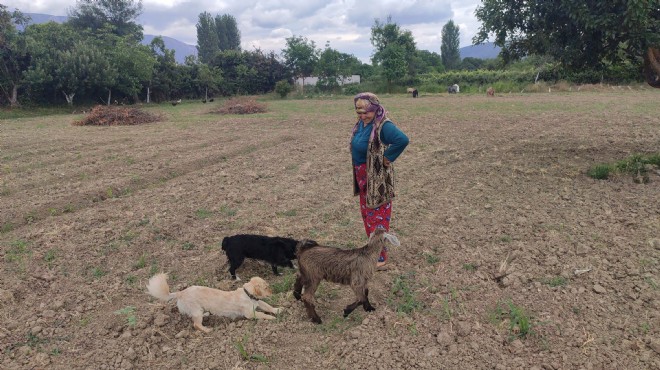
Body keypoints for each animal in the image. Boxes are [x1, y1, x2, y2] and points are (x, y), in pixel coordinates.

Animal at [147, 272, 284, 332]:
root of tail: (181, 292)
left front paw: (278, 310)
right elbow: (263, 314)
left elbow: (268, 306)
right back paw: (207, 330)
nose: (272, 291)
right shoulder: (250, 313)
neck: (248, 294)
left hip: (198, 310)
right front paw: (271, 318)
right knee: (196, 324)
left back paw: (207, 314)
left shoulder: (258, 303)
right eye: (266, 287)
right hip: (196, 311)